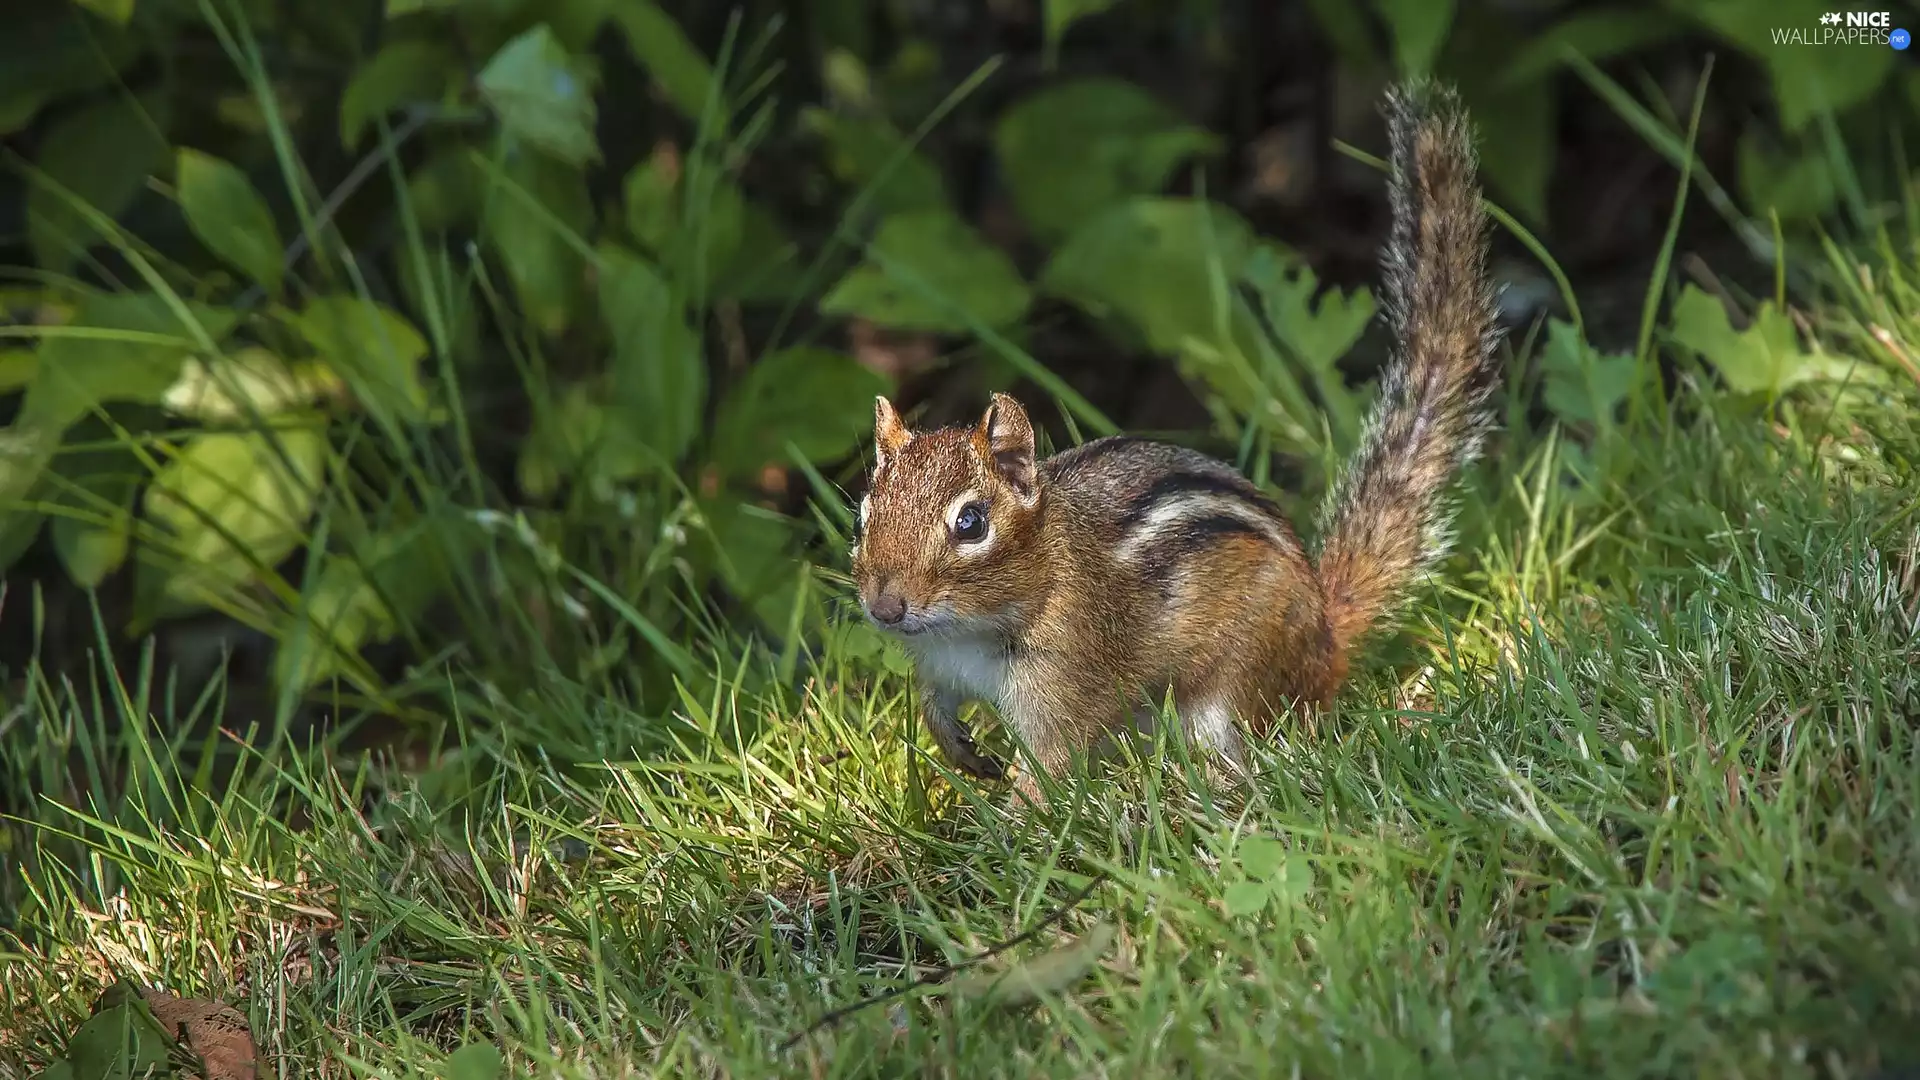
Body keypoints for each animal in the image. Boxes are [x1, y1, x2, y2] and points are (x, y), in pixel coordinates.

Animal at [848, 80, 1504, 807]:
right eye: (863, 515)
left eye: (972, 523)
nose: (883, 607)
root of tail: (1324, 642)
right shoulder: (940, 667)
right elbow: (934, 704)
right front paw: (959, 750)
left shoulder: (1067, 680)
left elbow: (1049, 766)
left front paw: (1008, 822)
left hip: (1235, 683)